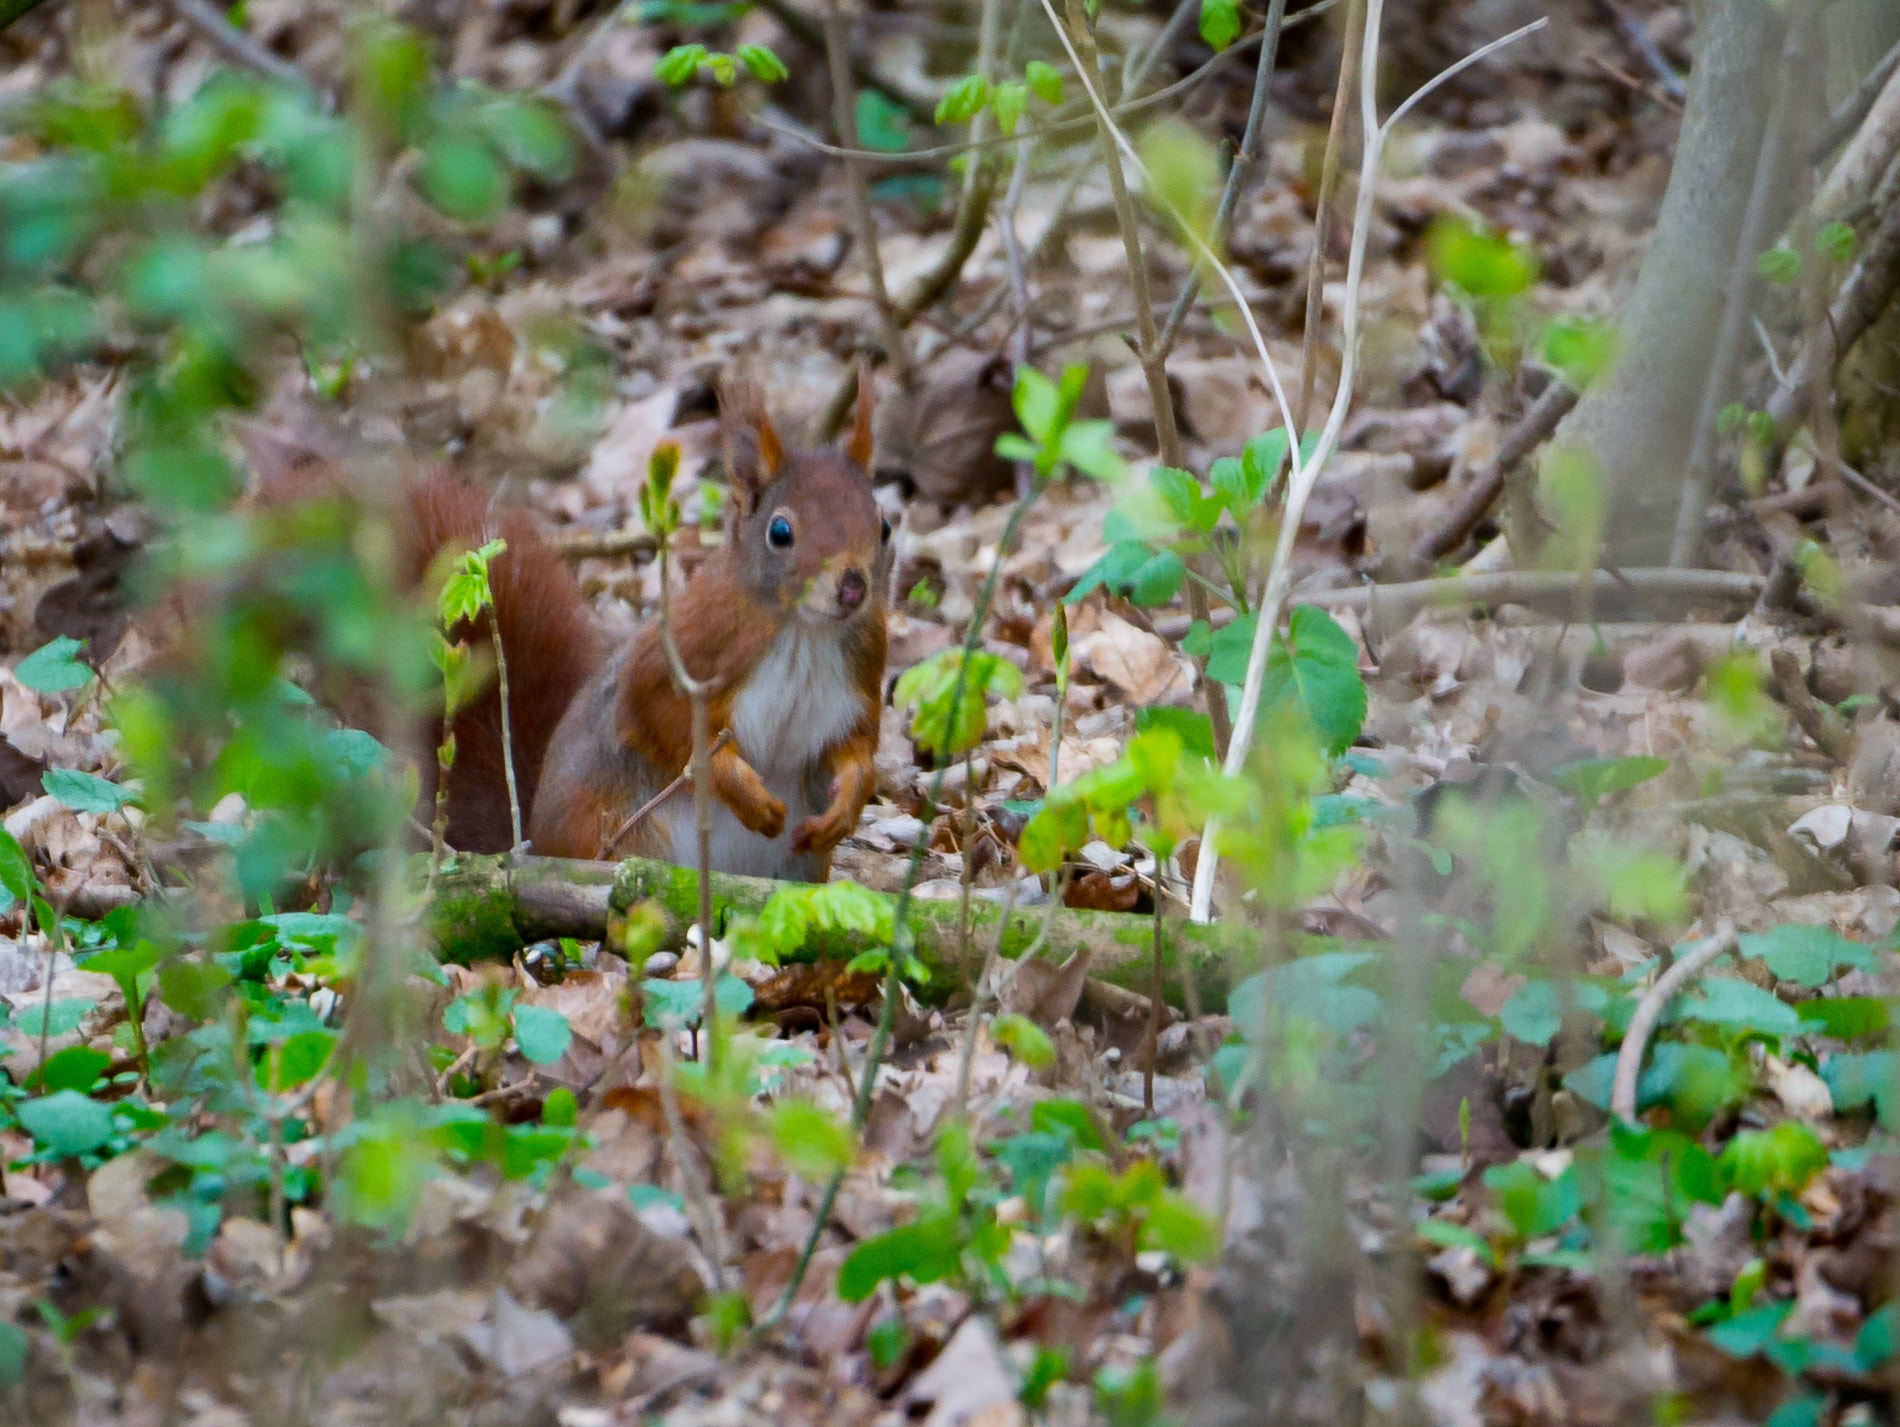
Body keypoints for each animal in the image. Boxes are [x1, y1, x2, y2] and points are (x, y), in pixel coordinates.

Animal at [404, 369, 888, 881]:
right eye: (780, 532)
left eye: (885, 526)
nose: (853, 587)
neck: (804, 630)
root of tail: (531, 847)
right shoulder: (686, 649)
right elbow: (659, 716)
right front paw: (743, 792)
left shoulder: (863, 671)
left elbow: (858, 746)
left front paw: (848, 803)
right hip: (620, 836)